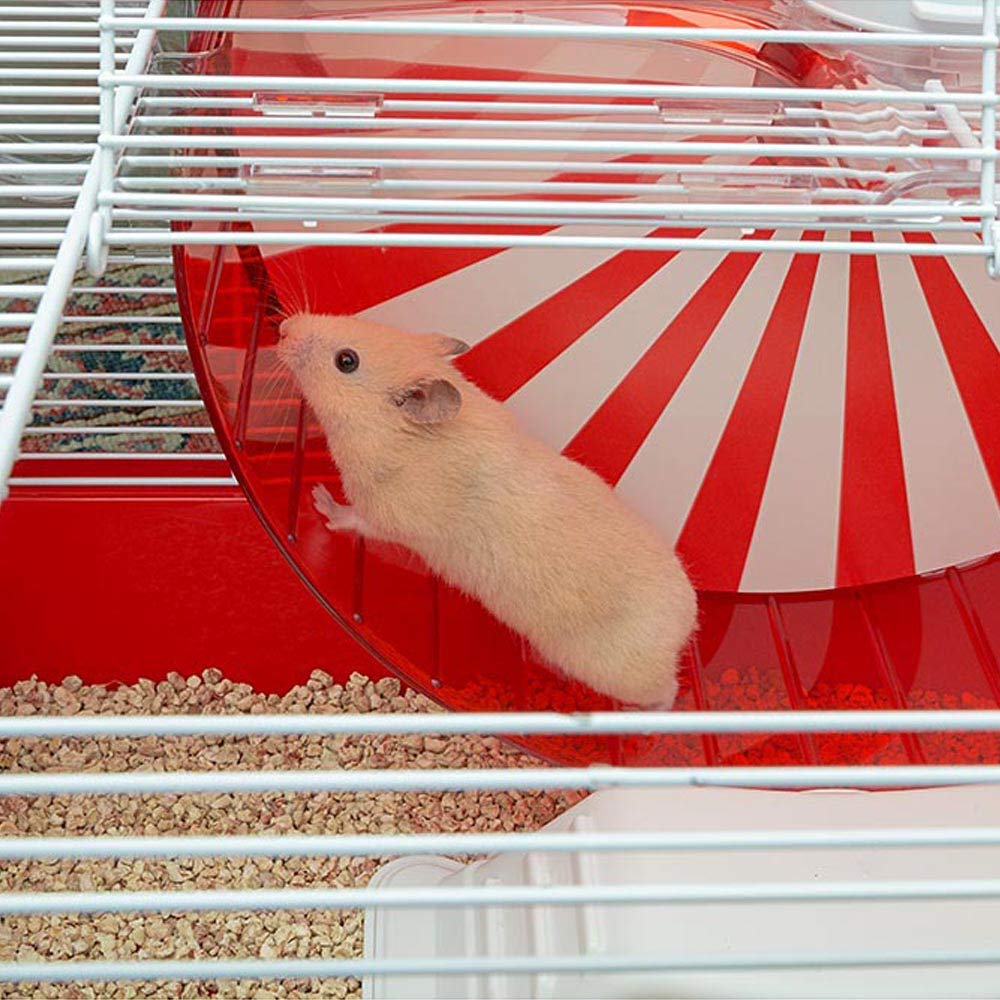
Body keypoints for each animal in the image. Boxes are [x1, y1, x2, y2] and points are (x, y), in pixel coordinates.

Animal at [279, 313, 697, 708]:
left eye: (346, 361)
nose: (283, 327)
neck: (398, 434)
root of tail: (687, 625)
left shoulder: (389, 513)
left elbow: (354, 520)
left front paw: (318, 498)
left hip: (618, 671)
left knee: (668, 691)